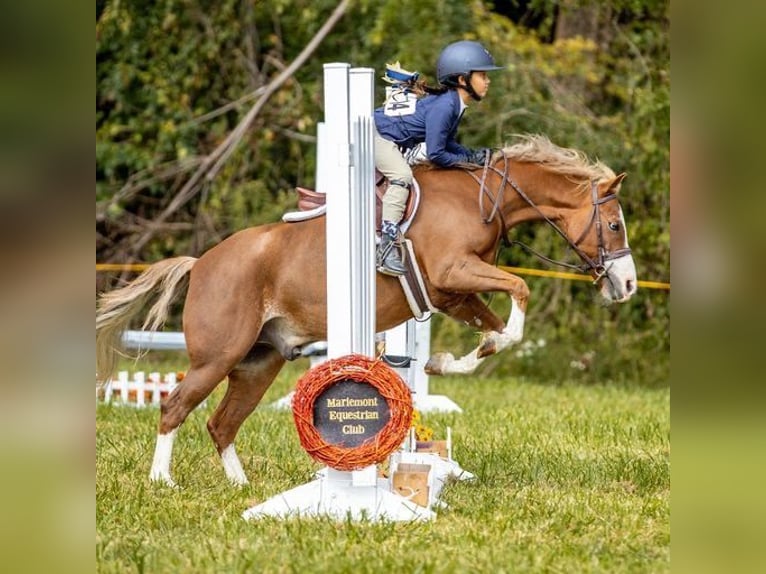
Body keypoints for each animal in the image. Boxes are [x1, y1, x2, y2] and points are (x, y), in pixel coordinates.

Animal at [96, 136, 640, 490]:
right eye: (614, 225)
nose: (628, 284)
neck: (482, 198)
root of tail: (202, 262)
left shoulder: (451, 292)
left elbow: (498, 332)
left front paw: (443, 363)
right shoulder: (456, 272)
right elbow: (520, 291)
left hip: (258, 362)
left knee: (221, 424)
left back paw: (241, 487)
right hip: (218, 356)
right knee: (175, 407)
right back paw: (162, 481)